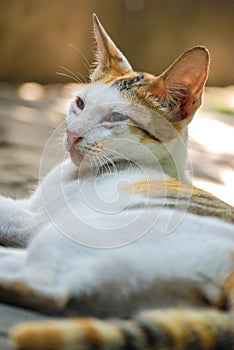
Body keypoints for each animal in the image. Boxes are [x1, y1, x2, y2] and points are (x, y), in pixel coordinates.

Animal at [0, 13, 234, 350]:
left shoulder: (36, 220)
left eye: (116, 118)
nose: (72, 134)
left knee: (45, 284)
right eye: (80, 104)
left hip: (85, 231)